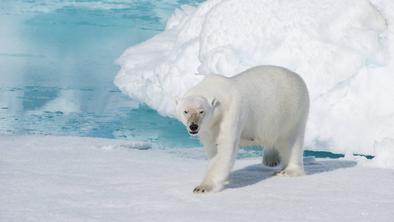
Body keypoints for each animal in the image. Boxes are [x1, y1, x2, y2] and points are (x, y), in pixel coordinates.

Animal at [175, 65, 308, 193]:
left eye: (201, 111)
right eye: (185, 111)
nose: (193, 126)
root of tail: (298, 77)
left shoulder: (231, 113)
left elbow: (225, 148)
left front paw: (202, 187)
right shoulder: (208, 127)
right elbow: (213, 149)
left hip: (292, 111)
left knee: (292, 141)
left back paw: (288, 170)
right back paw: (271, 159)